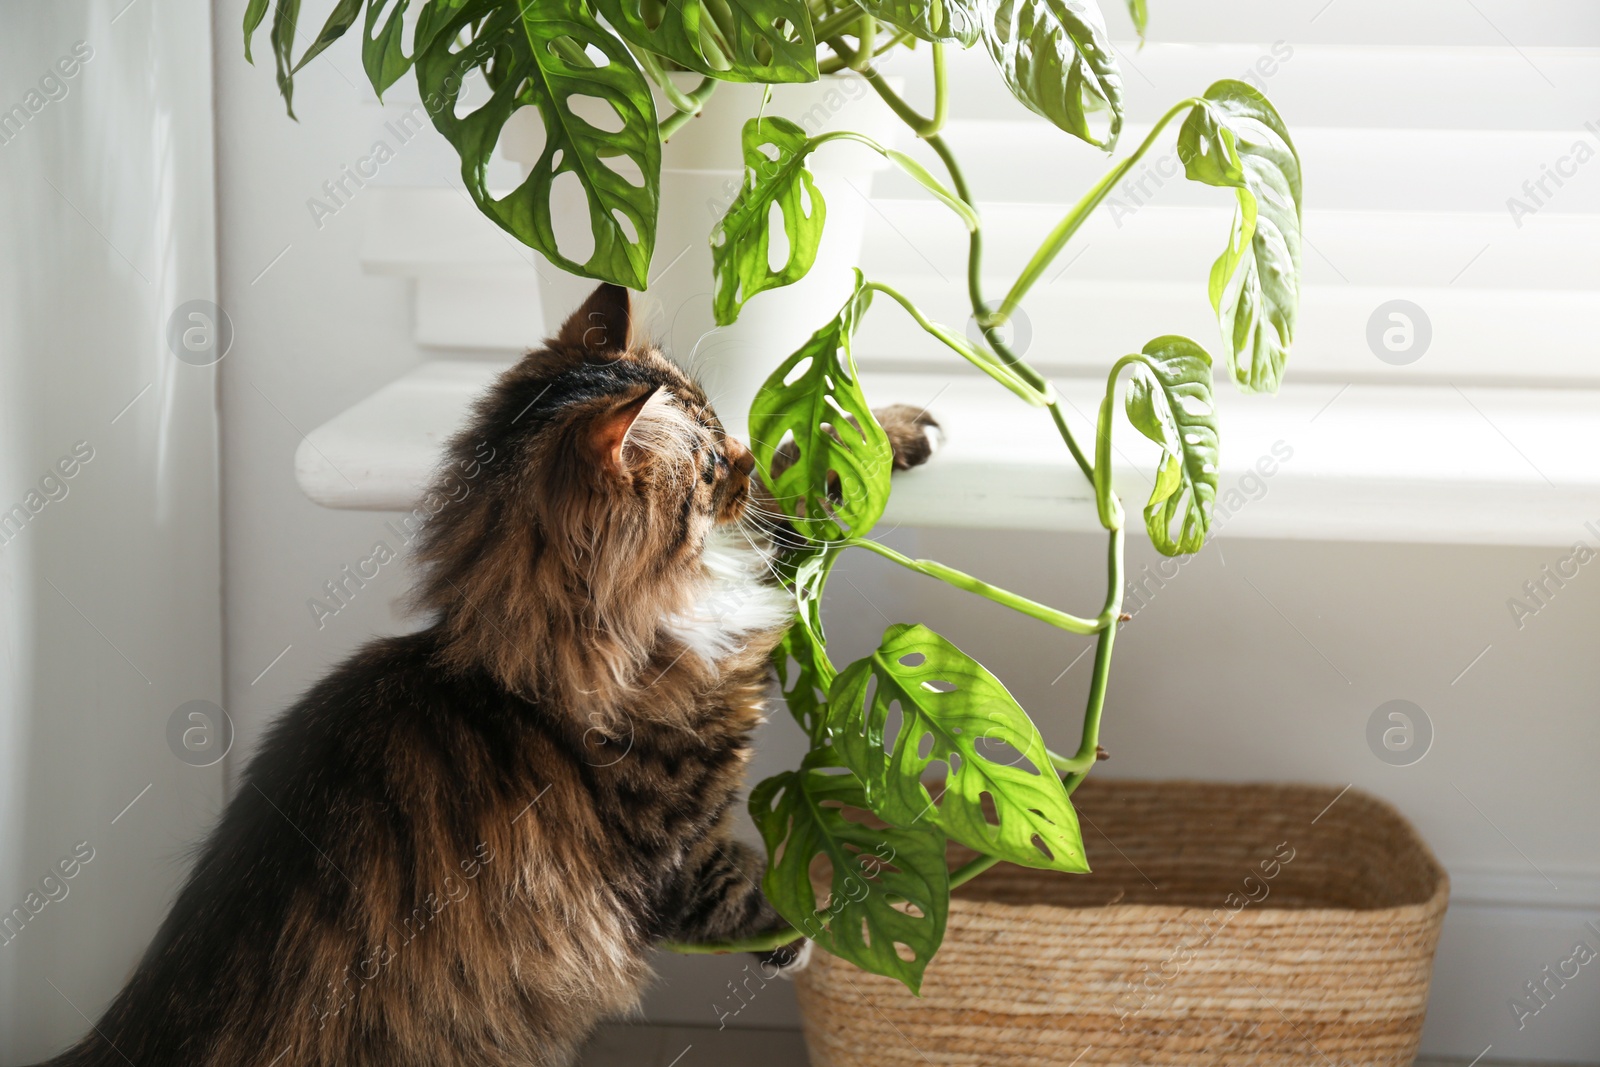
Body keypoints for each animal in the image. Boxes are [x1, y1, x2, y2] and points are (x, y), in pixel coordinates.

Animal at [40, 283, 934, 1067]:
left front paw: (883, 429)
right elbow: (769, 893)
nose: (741, 453)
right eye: (712, 458)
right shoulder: (679, 856)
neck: (515, 664)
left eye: (723, 427)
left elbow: (800, 495)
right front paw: (828, 926)